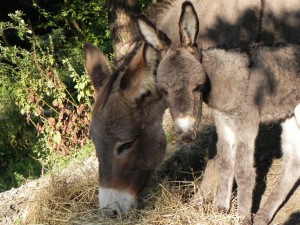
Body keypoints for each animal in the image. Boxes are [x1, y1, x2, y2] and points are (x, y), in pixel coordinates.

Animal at [138, 2, 300, 225]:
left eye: (197, 87)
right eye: (164, 92)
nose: (186, 135)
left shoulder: (246, 123)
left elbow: (243, 170)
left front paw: (242, 217)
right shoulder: (224, 121)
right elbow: (224, 162)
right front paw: (221, 209)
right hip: (289, 114)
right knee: (293, 161)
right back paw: (264, 215)